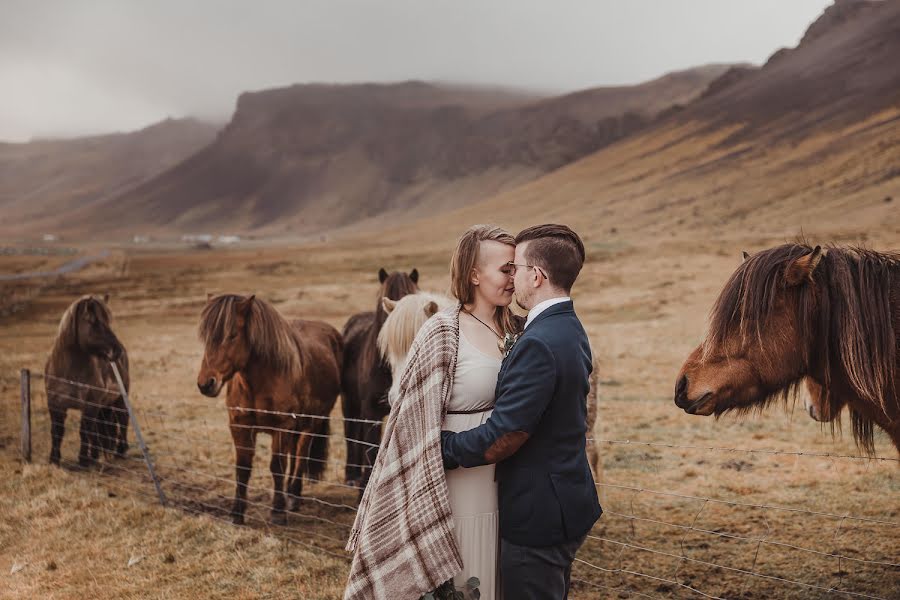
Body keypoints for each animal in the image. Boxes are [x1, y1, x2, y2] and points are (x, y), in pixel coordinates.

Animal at [44, 296, 129, 468]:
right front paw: (54, 459)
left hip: (119, 400)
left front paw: (83, 460)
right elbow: (57, 432)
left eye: (107, 321)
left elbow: (84, 432)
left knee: (122, 420)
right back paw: (96, 455)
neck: (69, 373)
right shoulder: (55, 405)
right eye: (94, 322)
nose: (116, 351)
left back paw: (120, 451)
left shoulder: (89, 406)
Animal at [197, 292, 342, 524]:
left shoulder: (281, 427)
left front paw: (278, 511)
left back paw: (293, 496)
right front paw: (237, 513)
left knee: (301, 455)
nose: (206, 383)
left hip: (312, 423)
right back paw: (291, 494)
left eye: (232, 335)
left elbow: (277, 466)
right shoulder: (240, 426)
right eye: (206, 337)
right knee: (294, 455)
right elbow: (243, 468)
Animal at [342, 268, 418, 488]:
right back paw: (352, 476)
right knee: (351, 433)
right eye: (384, 312)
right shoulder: (371, 410)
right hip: (349, 403)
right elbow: (371, 447)